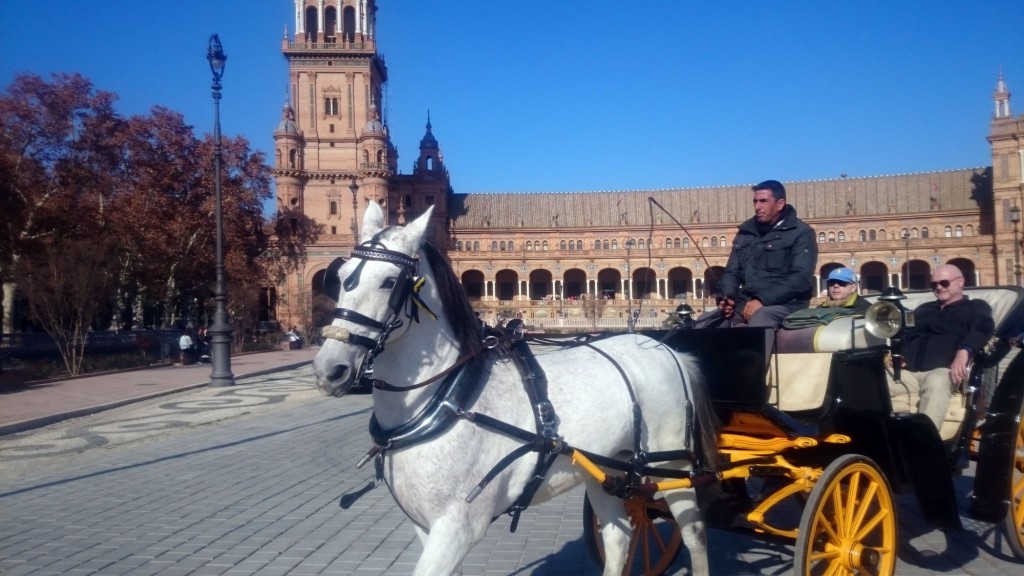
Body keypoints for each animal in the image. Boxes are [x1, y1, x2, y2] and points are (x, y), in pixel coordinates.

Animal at [307, 199, 716, 569]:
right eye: (341, 277)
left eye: (390, 282)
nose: (330, 369)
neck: (446, 398)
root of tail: (667, 348)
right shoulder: (425, 527)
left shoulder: (458, 527)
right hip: (608, 470)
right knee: (619, 535)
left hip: (673, 464)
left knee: (694, 535)